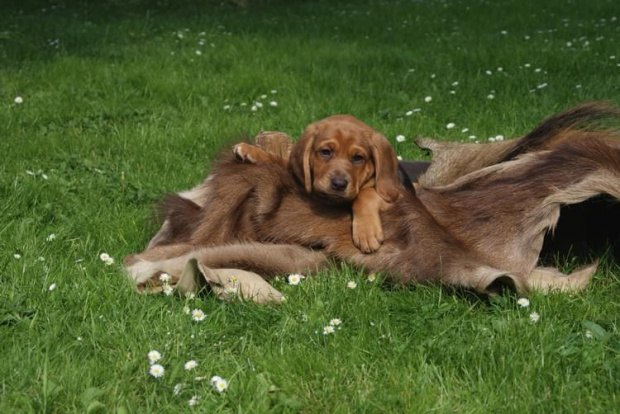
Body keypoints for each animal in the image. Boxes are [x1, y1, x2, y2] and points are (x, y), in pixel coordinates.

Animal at [230, 115, 400, 254]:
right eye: (326, 152)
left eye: (358, 158)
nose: (339, 184)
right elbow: (281, 160)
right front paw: (251, 151)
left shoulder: (395, 194)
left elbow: (366, 194)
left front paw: (367, 232)